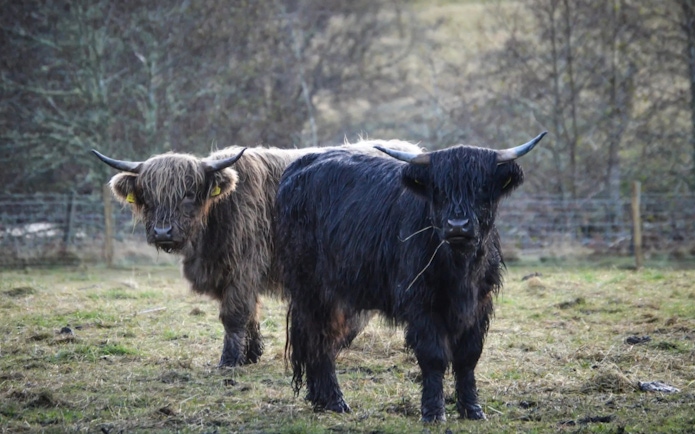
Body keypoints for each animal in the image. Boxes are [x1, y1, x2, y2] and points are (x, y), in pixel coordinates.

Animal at [92, 140, 422, 367]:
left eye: (188, 194)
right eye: (147, 196)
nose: (163, 232)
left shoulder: (245, 264)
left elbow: (235, 313)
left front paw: (229, 360)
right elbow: (250, 312)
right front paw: (251, 354)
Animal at [275, 132, 546, 422]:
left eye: (482, 188)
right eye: (438, 190)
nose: (458, 226)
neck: (460, 268)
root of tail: (301, 164)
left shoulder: (480, 303)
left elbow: (468, 356)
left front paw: (472, 409)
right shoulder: (420, 302)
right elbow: (433, 356)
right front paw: (433, 412)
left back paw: (321, 400)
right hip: (311, 288)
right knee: (319, 339)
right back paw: (335, 401)